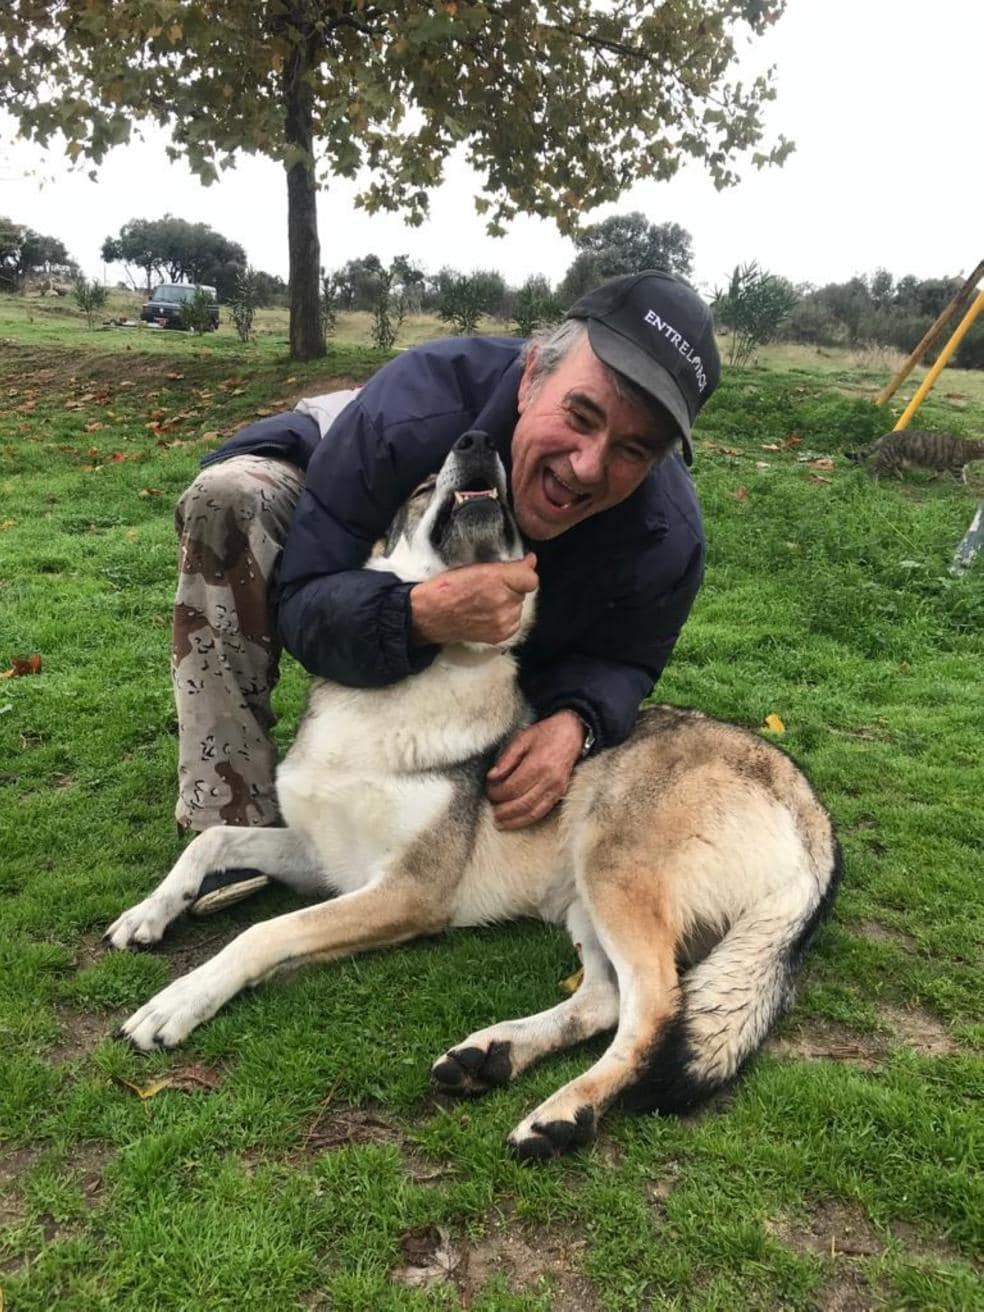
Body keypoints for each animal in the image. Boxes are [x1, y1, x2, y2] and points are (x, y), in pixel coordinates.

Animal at [109, 430, 850, 1159]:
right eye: (418, 487)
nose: (477, 440)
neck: (409, 693)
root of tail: (810, 808)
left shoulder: (408, 892)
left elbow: (263, 933)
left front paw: (177, 1002)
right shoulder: (326, 861)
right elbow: (211, 840)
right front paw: (147, 914)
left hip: (611, 874)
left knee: (657, 1009)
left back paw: (560, 1115)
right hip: (584, 903)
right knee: (604, 1001)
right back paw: (493, 1055)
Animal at [850, 430, 984, 482]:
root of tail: (887, 435)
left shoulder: (941, 464)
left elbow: (939, 472)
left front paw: (933, 478)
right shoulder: (955, 466)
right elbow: (961, 479)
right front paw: (965, 488)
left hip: (896, 459)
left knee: (893, 467)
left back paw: (900, 476)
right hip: (888, 457)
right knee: (874, 468)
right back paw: (875, 482)